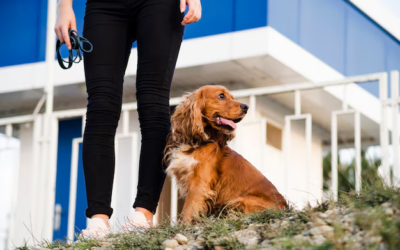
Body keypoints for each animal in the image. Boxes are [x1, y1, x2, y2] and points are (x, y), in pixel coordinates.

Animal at [164, 85, 286, 222]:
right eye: (221, 96)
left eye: (232, 97)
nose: (246, 107)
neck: (197, 142)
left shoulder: (200, 183)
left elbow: (188, 210)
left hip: (241, 200)